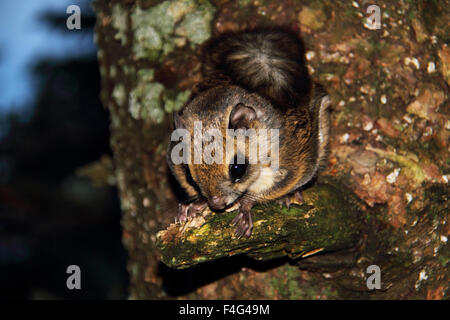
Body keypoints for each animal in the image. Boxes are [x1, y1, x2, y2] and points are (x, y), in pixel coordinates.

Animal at [167, 27, 328, 238]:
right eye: (187, 172)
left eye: (238, 169)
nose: (216, 204)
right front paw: (193, 205)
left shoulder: (290, 165)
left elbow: (264, 192)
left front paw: (244, 208)